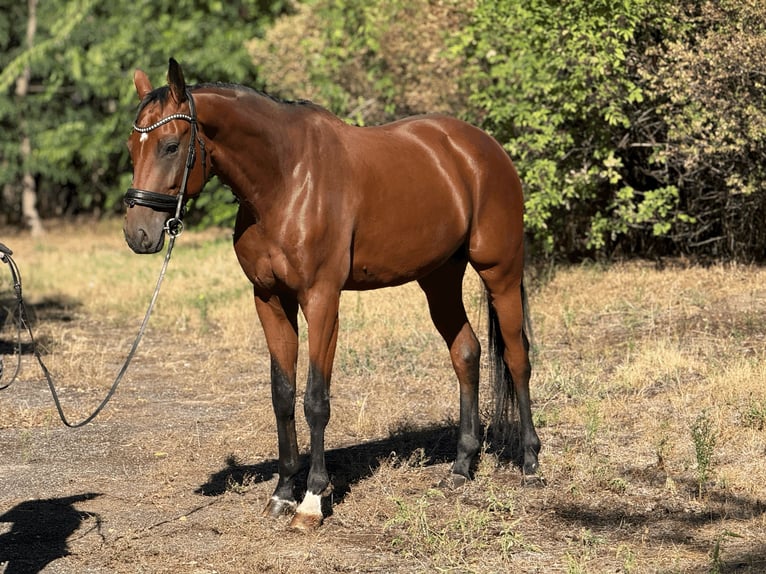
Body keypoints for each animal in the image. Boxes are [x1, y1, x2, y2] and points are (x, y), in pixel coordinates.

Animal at [123, 58, 541, 530]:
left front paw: (312, 500)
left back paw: (530, 464)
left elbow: (315, 400)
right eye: (132, 147)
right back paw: (460, 468)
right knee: (466, 352)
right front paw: (283, 491)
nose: (138, 234)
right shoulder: (269, 300)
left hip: (500, 271)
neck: (286, 180)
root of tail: (483, 148)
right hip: (440, 279)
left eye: (171, 146)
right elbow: (282, 395)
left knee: (517, 358)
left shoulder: (322, 299)